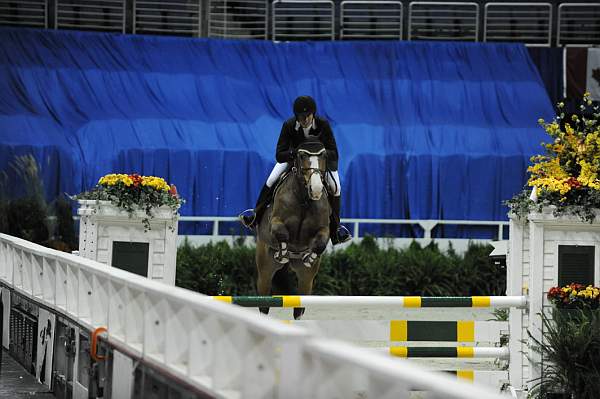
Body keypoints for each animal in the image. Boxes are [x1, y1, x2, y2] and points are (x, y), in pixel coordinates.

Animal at [253, 139, 330, 320]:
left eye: (324, 156)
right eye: (301, 156)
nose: (316, 189)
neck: (303, 199)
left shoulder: (323, 229)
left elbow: (321, 243)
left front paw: (310, 257)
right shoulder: (275, 222)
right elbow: (281, 232)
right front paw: (282, 253)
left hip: (306, 279)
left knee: (299, 308)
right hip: (265, 269)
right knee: (264, 303)